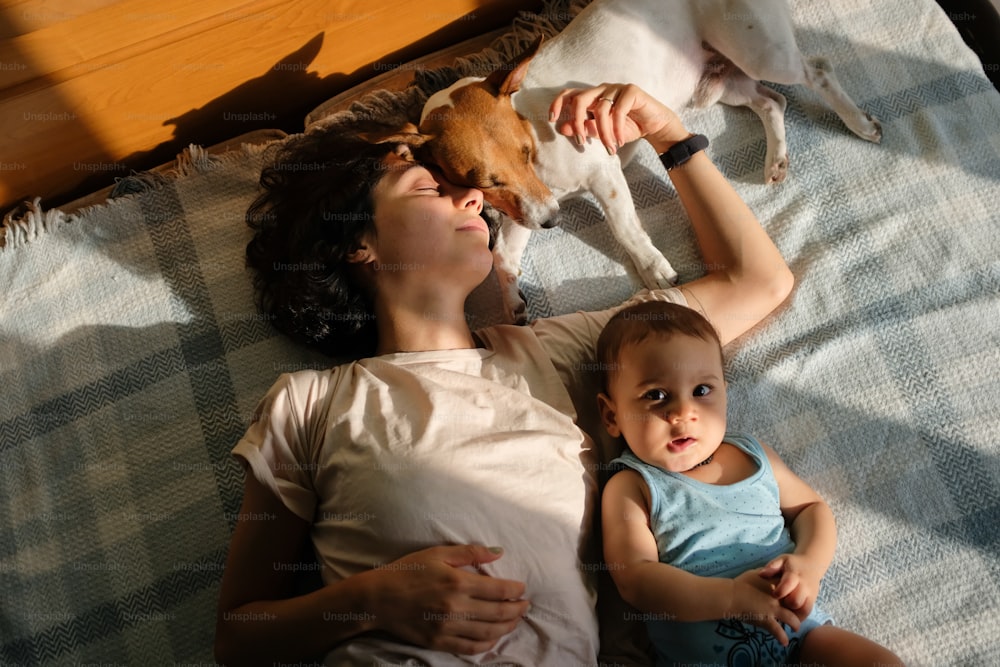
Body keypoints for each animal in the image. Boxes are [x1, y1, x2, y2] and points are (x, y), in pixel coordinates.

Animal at [378, 0, 880, 320]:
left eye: (525, 152)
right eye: (481, 181)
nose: (554, 222)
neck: (531, 122)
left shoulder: (601, 172)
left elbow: (624, 228)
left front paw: (653, 268)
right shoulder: (527, 206)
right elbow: (502, 255)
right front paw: (513, 304)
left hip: (761, 53)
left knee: (817, 71)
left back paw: (859, 122)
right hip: (723, 80)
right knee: (773, 101)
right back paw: (776, 159)